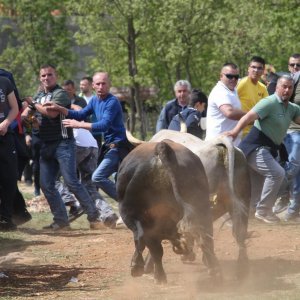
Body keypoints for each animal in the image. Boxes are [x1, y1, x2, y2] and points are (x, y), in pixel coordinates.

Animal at [116, 141, 220, 284]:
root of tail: (162, 146)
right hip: (201, 206)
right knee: (205, 236)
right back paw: (213, 269)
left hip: (133, 213)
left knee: (145, 241)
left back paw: (147, 271)